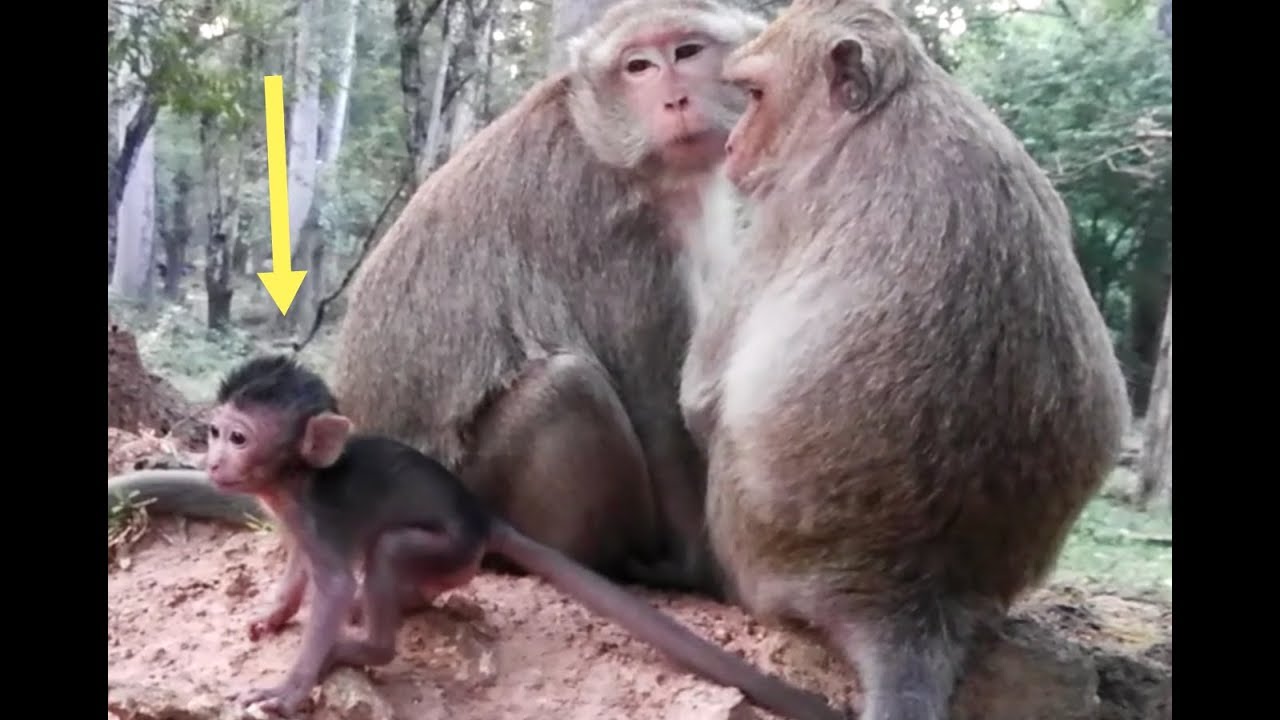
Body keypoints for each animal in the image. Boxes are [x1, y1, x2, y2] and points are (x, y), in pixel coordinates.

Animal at [192, 354, 847, 720]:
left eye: (239, 438)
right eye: (216, 432)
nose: (212, 461)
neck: (297, 480)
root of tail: (486, 519)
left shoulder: (318, 519)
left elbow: (327, 586)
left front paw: (291, 687)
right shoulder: (294, 519)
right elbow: (297, 570)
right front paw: (272, 616)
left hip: (450, 548)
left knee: (388, 552)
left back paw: (365, 645)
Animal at [676, 2, 1133, 719]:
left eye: (754, 95)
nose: (731, 148)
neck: (887, 108)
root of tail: (918, 597)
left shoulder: (788, 207)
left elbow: (699, 397)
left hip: (760, 553)